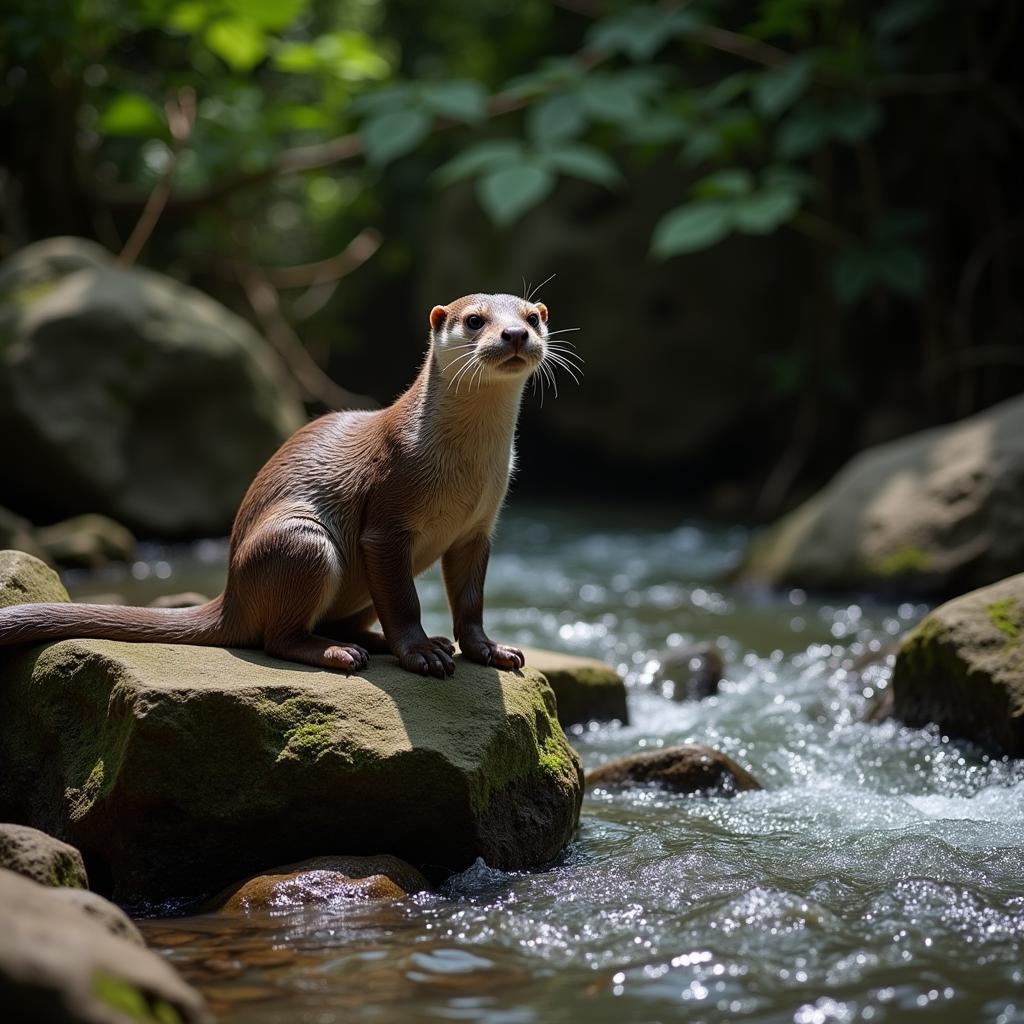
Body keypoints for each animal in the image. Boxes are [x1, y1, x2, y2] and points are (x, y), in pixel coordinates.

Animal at [0, 292, 577, 675]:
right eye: (475, 320)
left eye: (531, 317)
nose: (514, 334)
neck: (464, 473)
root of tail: (230, 593)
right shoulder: (388, 514)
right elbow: (404, 601)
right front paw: (420, 653)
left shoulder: (480, 526)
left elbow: (472, 601)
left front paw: (490, 650)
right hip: (303, 541)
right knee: (277, 638)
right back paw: (342, 654)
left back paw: (372, 642)